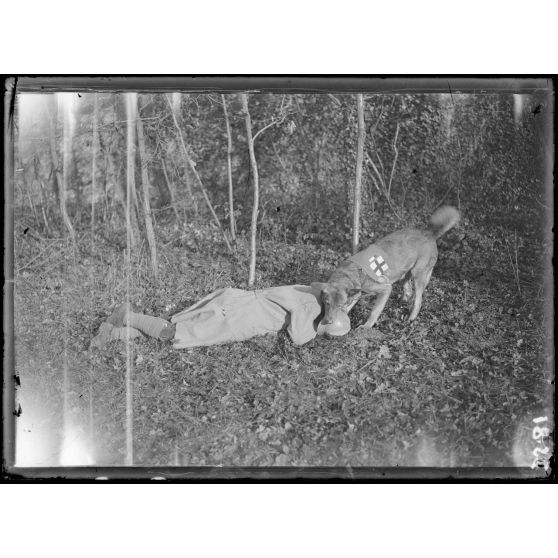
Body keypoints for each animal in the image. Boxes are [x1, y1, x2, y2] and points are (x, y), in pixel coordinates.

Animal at [322, 208, 462, 330]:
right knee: (408, 287)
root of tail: (429, 233)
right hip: (406, 272)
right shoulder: (355, 294)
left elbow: (374, 311)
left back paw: (411, 318)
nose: (328, 322)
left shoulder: (385, 289)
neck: (353, 273)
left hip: (417, 275)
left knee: (418, 301)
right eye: (327, 303)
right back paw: (404, 299)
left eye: (339, 305)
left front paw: (367, 326)